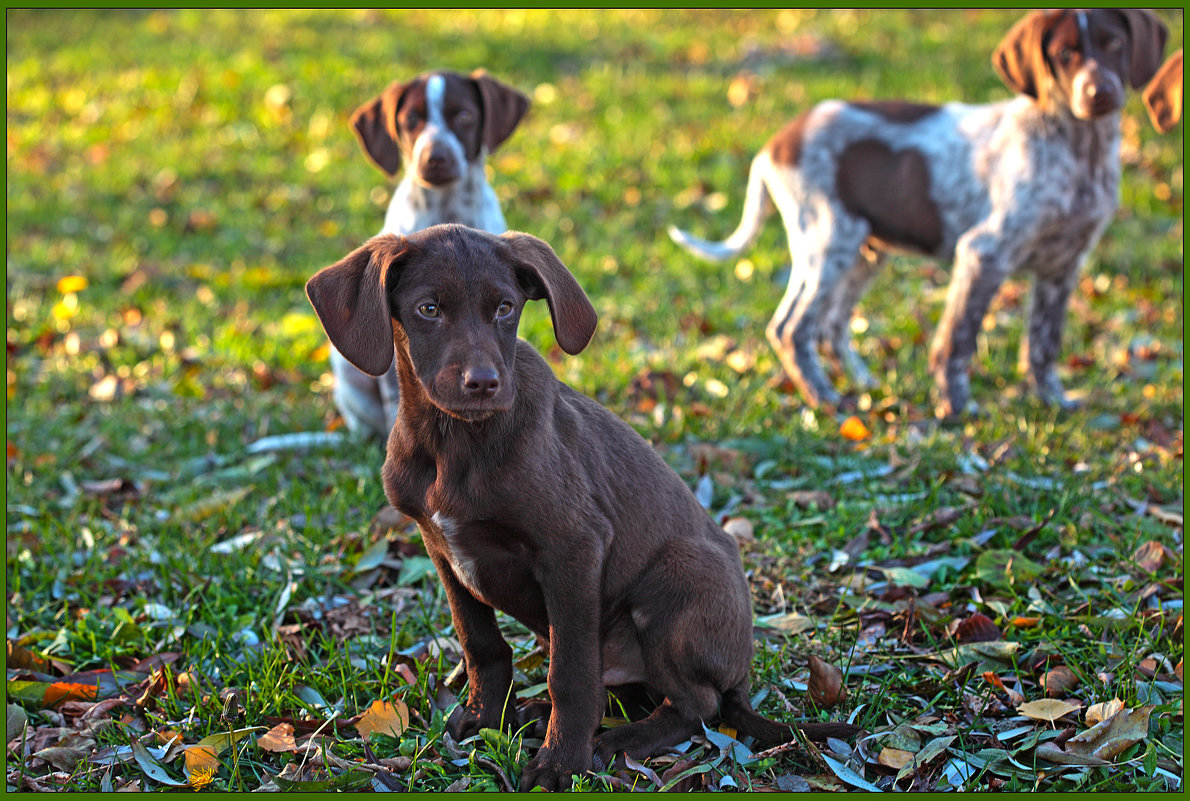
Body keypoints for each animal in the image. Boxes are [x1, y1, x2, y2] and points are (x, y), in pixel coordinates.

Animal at [307, 223, 856, 785]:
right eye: (429, 309)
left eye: (505, 308)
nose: (483, 383)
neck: (453, 441)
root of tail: (742, 674)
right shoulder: (441, 549)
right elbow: (480, 642)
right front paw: (486, 716)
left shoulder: (572, 548)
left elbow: (568, 675)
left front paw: (559, 762)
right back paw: (540, 714)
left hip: (677, 578)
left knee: (697, 704)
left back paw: (618, 740)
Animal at [671, 9, 1180, 416]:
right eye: (1064, 53)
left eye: (1114, 44)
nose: (1100, 93)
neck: (1079, 147)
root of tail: (776, 143)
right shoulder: (983, 252)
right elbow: (958, 338)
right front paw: (955, 408)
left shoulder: (1063, 267)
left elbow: (1043, 343)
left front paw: (1053, 400)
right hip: (826, 241)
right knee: (792, 328)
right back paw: (825, 399)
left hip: (865, 251)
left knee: (831, 326)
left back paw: (863, 383)